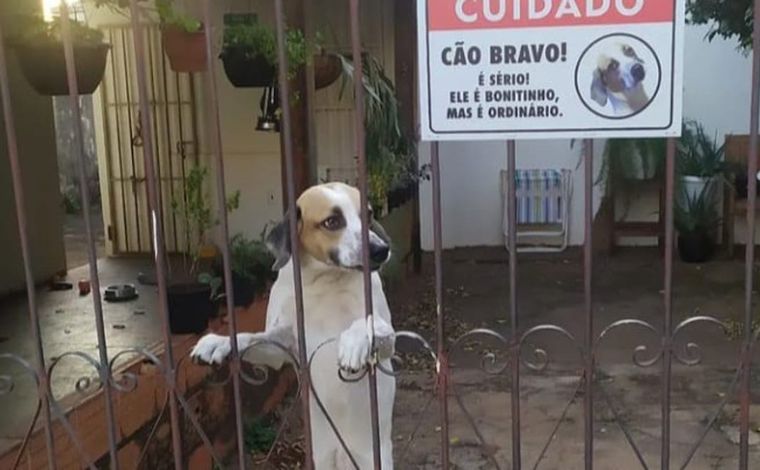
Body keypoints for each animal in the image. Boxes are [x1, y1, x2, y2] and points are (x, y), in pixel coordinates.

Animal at [190, 183, 394, 470]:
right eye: (332, 221)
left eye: (368, 213)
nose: (381, 249)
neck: (323, 282)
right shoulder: (283, 348)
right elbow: (250, 337)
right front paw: (218, 342)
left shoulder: (388, 340)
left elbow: (368, 323)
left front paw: (354, 342)